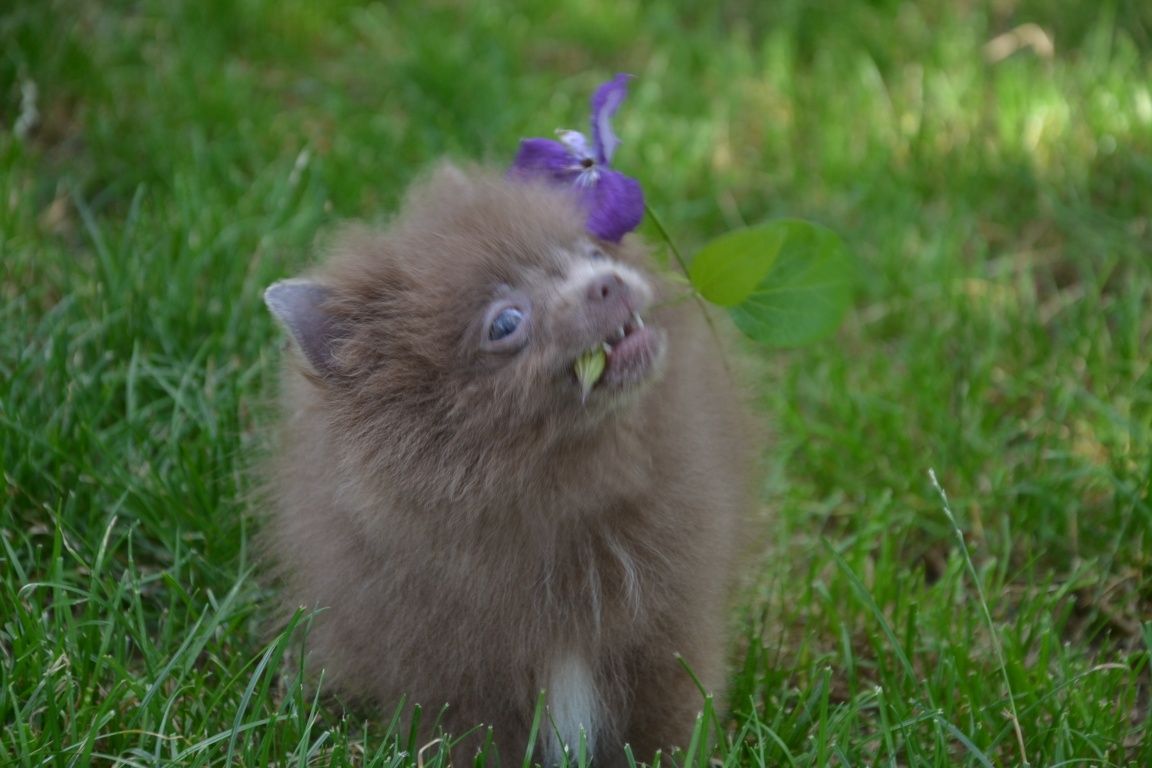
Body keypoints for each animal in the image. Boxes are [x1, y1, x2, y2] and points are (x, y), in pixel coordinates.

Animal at [262, 165, 755, 764]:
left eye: (592, 251)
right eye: (505, 322)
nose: (607, 281)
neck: (561, 495)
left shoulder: (667, 631)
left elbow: (668, 723)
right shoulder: (450, 671)